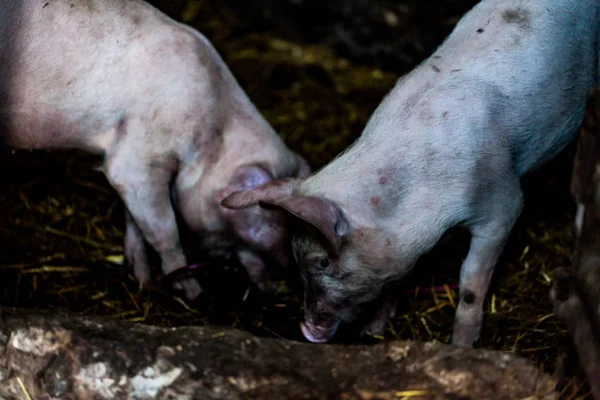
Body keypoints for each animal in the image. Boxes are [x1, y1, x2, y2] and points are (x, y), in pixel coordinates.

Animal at [0, 0, 310, 300]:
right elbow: (165, 232)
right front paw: (192, 292)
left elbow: (135, 224)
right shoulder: (135, 161)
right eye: (267, 214)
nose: (277, 285)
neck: (212, 133)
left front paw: (144, 280)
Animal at [223, 0, 600, 346]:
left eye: (322, 263)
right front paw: (375, 330)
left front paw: (460, 347)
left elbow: (470, 281)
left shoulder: (502, 201)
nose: (306, 329)